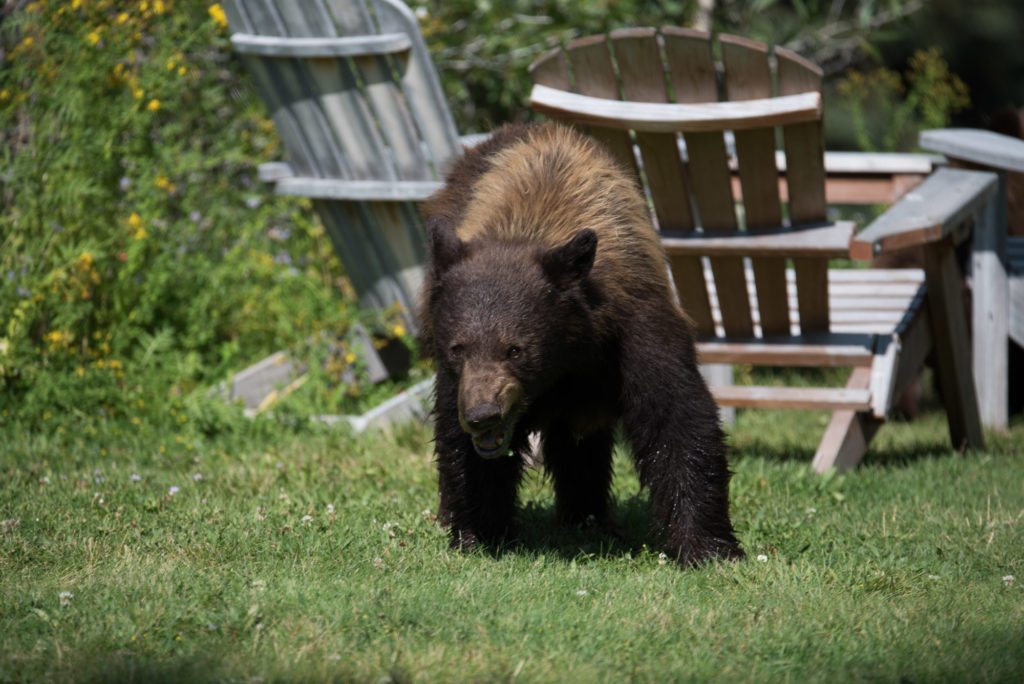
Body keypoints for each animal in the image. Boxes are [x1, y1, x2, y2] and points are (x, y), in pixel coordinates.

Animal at [418, 122, 742, 566]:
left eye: (515, 349)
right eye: (458, 348)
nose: (483, 415)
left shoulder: (636, 329)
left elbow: (676, 419)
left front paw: (708, 546)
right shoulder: (456, 377)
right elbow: (459, 446)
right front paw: (478, 532)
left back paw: (588, 520)